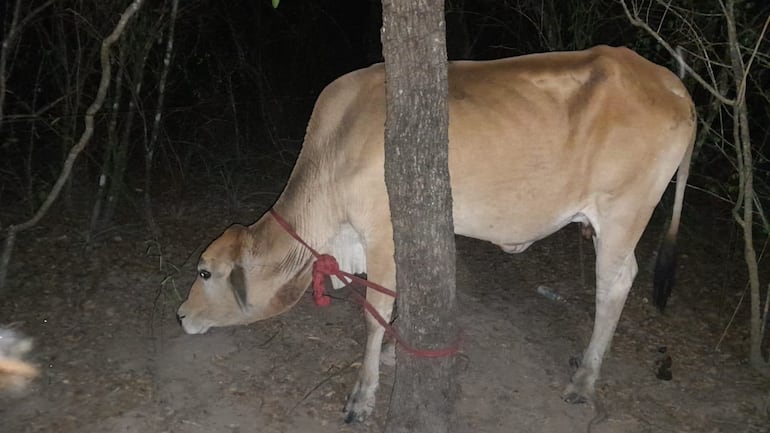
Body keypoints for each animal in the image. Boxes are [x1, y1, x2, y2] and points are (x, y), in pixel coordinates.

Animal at [177, 45, 692, 420]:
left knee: (616, 284)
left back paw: (584, 380)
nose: (181, 316)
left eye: (204, 273)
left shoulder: (381, 235)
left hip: (622, 213)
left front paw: (363, 396)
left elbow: (375, 311)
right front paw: (393, 349)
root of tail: (671, 83)